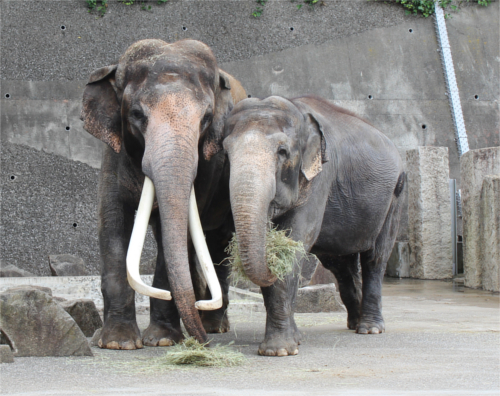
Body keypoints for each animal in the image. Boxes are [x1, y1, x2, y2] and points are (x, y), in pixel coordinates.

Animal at [79, 39, 247, 350]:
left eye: (206, 119)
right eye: (136, 114)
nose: (203, 345)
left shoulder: (206, 165)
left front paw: (162, 340)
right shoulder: (112, 153)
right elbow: (112, 222)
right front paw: (118, 343)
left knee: (217, 243)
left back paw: (213, 326)